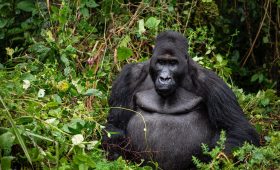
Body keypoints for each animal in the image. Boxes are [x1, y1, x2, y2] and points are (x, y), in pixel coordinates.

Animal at [101, 30, 260, 170]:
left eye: (173, 63)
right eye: (161, 62)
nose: (164, 78)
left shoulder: (214, 84)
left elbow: (238, 129)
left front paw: (209, 159)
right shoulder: (129, 77)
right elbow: (115, 124)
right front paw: (116, 154)